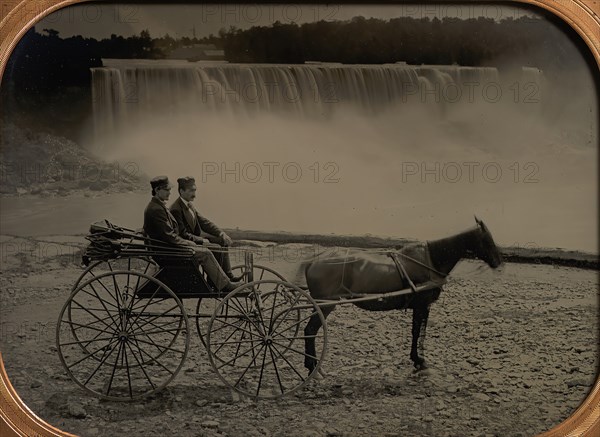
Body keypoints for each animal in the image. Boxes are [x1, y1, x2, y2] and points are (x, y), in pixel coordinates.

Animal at [298, 216, 504, 372]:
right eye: (487, 239)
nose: (498, 262)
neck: (431, 260)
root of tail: (312, 262)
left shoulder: (422, 306)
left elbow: (419, 331)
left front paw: (417, 357)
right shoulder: (422, 305)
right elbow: (417, 332)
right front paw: (418, 359)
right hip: (325, 304)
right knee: (310, 331)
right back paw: (312, 365)